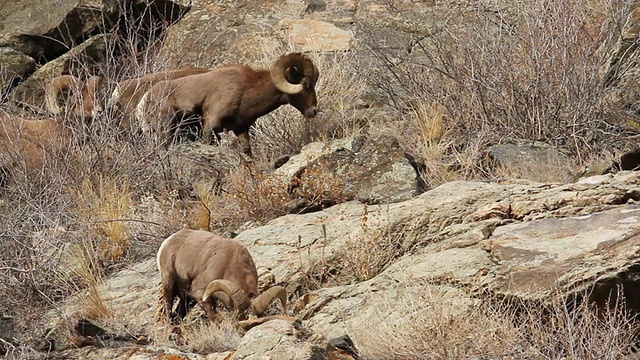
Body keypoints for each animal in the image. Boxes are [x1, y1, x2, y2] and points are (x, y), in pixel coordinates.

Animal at [139, 52, 320, 156]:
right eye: (306, 85)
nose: (314, 111)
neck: (247, 89)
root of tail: (144, 100)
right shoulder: (210, 127)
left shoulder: (241, 129)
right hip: (167, 129)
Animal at [156, 229, 286, 324]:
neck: (229, 265)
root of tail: (167, 241)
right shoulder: (200, 294)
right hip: (169, 283)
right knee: (168, 306)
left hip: (186, 299)